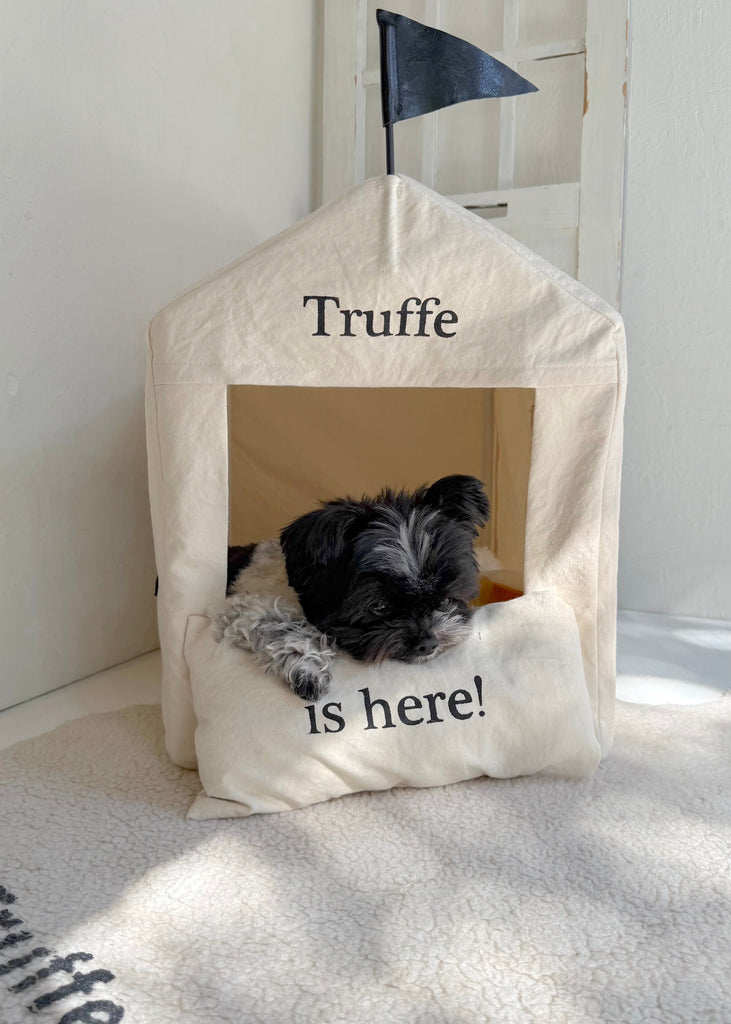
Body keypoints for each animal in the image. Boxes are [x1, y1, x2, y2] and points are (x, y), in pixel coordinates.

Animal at [215, 474, 490, 702]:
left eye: (446, 597)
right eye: (379, 606)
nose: (428, 643)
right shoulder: (243, 608)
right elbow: (285, 626)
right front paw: (308, 668)